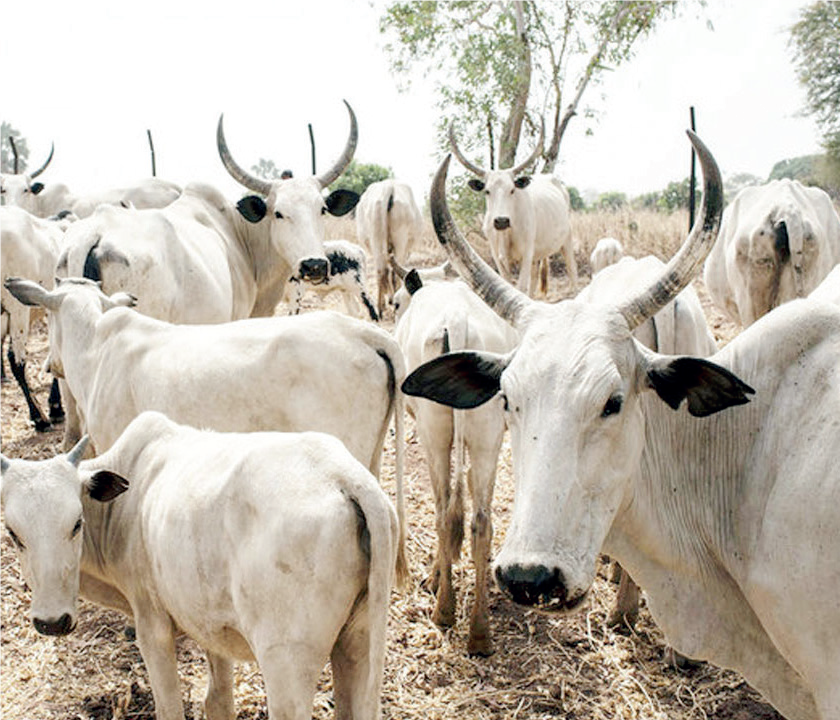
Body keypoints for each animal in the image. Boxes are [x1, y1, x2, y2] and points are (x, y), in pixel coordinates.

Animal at [0, 411, 398, 719]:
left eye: (76, 523)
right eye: (13, 532)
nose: (52, 622)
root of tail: (345, 477)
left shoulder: (152, 626)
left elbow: (170, 708)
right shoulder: (213, 626)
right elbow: (218, 702)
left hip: (287, 664)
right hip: (357, 644)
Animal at [355, 179, 424, 318]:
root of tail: (388, 187)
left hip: (376, 239)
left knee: (381, 270)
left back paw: (380, 308)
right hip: (401, 239)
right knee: (392, 273)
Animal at [393, 266, 517, 656]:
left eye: (395, 303)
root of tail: (458, 321)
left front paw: (435, 576)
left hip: (433, 431)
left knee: (444, 512)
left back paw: (444, 610)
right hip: (487, 435)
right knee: (480, 523)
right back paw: (480, 633)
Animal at [449, 123, 577, 297]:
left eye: (512, 190)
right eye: (487, 191)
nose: (501, 221)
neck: (507, 233)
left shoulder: (526, 254)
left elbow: (521, 287)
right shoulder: (499, 258)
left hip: (566, 240)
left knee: (572, 270)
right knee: (534, 279)